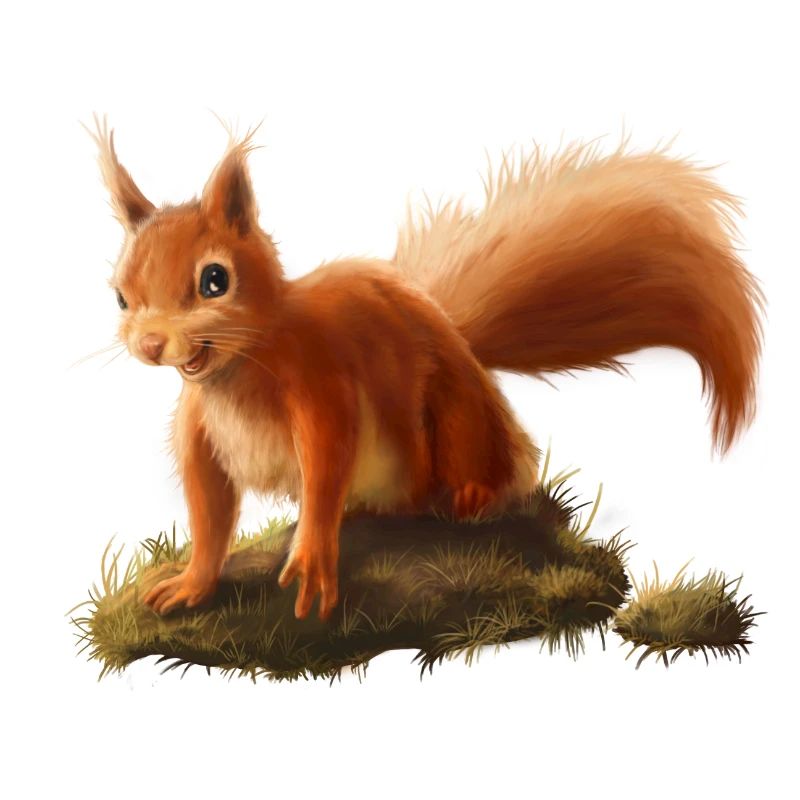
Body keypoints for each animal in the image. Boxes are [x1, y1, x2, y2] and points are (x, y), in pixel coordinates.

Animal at [86, 117, 763, 621]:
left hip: (457, 416)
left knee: (495, 467)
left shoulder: (322, 385)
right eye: (119, 295)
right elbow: (209, 511)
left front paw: (311, 557)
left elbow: (326, 464)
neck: (238, 369)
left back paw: (472, 494)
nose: (151, 344)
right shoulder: (199, 433)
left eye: (214, 280)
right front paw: (192, 584)